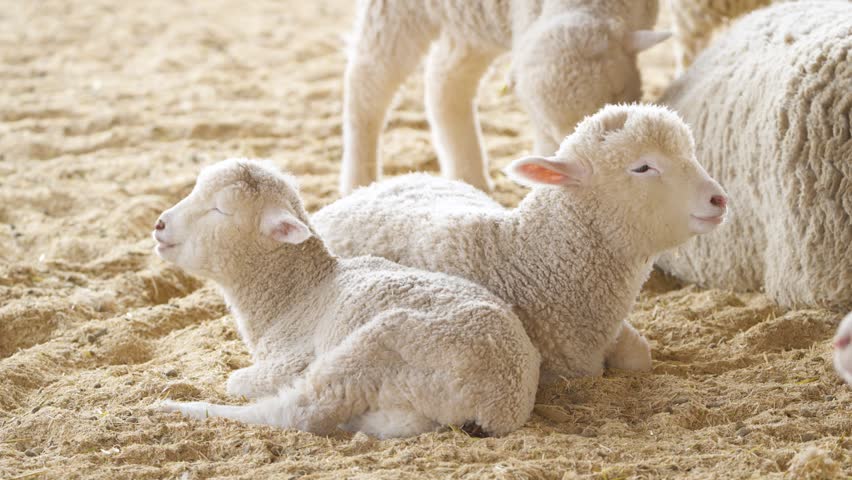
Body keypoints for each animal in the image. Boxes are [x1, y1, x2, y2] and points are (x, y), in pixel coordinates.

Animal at [152, 159, 540, 439]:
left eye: (219, 210)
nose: (159, 224)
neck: (296, 296)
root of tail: (497, 404)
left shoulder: (292, 360)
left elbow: (237, 381)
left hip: (379, 347)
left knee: (297, 413)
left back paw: (172, 408)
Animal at [339, 0, 672, 194]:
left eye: (617, 96)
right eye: (547, 128)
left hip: (472, 22)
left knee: (444, 79)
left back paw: (468, 177)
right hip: (396, 11)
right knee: (367, 82)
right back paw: (358, 181)